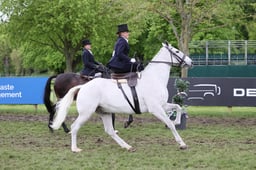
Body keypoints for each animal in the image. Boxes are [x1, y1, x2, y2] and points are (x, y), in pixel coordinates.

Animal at [51, 41, 192, 152]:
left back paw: (127, 146)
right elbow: (169, 123)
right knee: (75, 127)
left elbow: (178, 107)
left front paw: (177, 121)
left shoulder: (162, 105)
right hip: (86, 113)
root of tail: (83, 86)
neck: (154, 78)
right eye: (176, 51)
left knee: (110, 130)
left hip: (105, 112)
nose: (190, 61)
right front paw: (182, 143)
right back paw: (75, 148)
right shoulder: (155, 108)